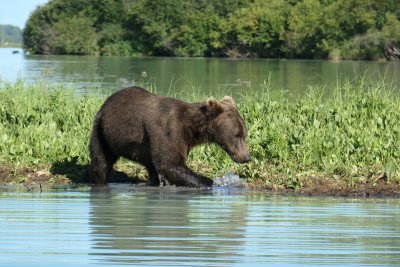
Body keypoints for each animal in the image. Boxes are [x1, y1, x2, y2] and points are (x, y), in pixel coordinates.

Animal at [90, 87, 250, 187]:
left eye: (244, 134)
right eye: (236, 135)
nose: (246, 157)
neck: (191, 128)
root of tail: (106, 103)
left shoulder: (184, 140)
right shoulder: (168, 130)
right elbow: (170, 163)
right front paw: (212, 182)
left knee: (151, 166)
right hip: (102, 132)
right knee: (101, 163)